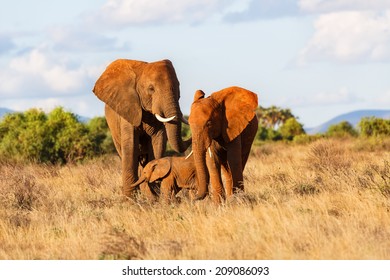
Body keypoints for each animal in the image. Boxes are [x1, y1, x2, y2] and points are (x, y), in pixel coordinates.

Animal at [94, 59, 192, 198]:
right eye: (151, 89)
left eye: (178, 86)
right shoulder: (128, 108)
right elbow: (130, 146)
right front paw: (130, 199)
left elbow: (158, 142)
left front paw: (155, 194)